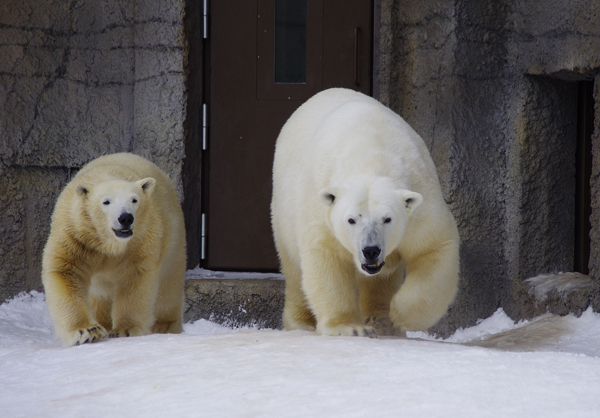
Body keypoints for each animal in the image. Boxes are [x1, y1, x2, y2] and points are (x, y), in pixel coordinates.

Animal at [42, 153, 186, 346]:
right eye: (106, 202)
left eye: (134, 199)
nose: (125, 218)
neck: (108, 243)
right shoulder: (76, 236)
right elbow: (65, 271)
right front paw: (87, 331)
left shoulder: (140, 241)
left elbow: (134, 279)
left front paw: (125, 330)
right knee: (100, 297)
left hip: (173, 241)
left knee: (168, 290)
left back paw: (164, 327)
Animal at [272, 88, 460, 336]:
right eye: (351, 220)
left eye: (387, 219)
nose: (370, 250)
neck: (373, 156)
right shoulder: (321, 206)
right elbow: (326, 257)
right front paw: (348, 327)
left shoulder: (422, 205)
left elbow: (434, 248)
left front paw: (397, 314)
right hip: (284, 209)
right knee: (294, 267)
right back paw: (300, 323)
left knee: (381, 279)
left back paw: (382, 322)